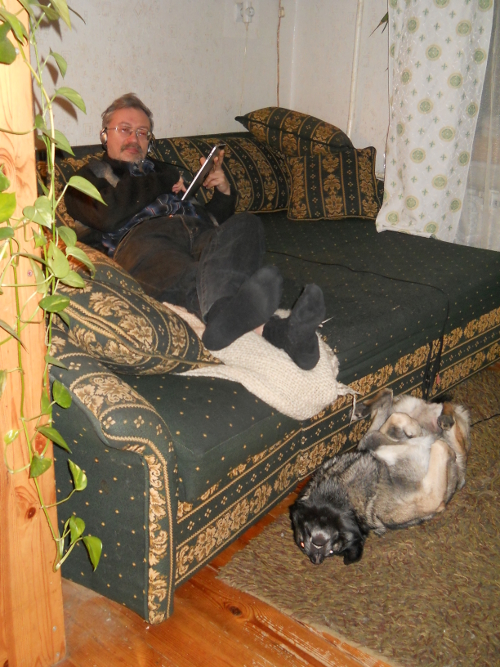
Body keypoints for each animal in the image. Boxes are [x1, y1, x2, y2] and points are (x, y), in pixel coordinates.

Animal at [290, 389, 470, 565]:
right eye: (302, 544)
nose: (316, 560)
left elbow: (387, 430)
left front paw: (415, 431)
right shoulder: (431, 497)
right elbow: (439, 446)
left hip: (413, 412)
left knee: (394, 402)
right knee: (390, 401)